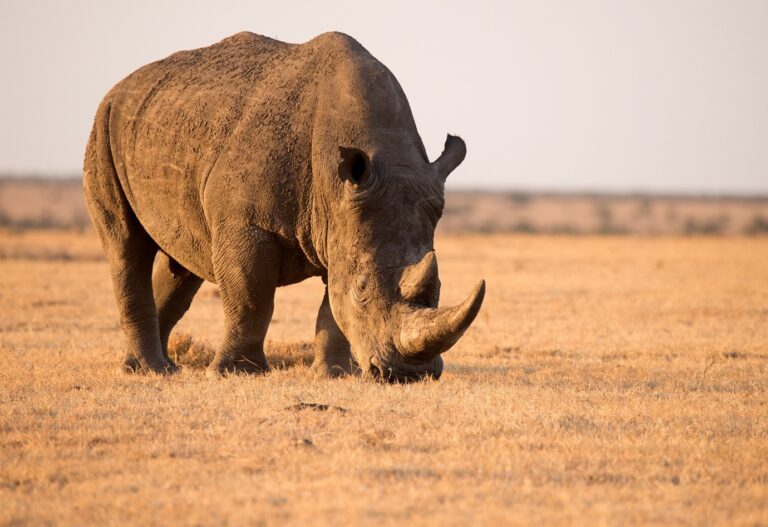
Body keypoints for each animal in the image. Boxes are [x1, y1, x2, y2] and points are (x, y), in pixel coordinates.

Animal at [83, 31, 485, 382]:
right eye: (363, 288)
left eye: (439, 287)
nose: (408, 375)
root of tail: (120, 86)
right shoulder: (248, 224)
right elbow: (251, 297)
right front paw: (235, 374)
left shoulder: (340, 221)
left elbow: (331, 306)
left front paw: (333, 375)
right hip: (104, 125)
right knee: (126, 247)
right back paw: (148, 370)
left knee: (183, 261)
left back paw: (159, 367)